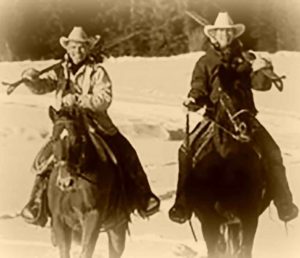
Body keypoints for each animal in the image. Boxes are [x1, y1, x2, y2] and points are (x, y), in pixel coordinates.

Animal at [47, 105, 129, 258]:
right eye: (54, 139)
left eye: (76, 140)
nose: (65, 182)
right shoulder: (59, 219)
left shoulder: (93, 217)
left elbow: (86, 250)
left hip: (117, 229)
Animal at [186, 71, 270, 258]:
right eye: (225, 96)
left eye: (249, 93)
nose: (248, 128)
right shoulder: (208, 220)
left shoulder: (249, 218)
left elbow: (244, 250)